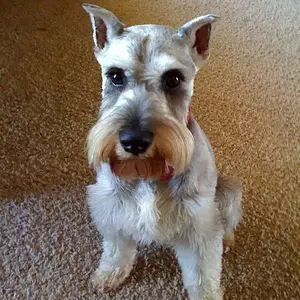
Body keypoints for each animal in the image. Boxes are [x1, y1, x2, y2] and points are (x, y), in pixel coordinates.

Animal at [81, 3, 241, 298]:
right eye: (115, 75)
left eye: (174, 79)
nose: (133, 141)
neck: (148, 172)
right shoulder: (112, 205)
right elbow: (116, 248)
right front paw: (109, 273)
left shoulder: (199, 225)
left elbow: (203, 275)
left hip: (229, 192)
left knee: (226, 224)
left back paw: (227, 239)